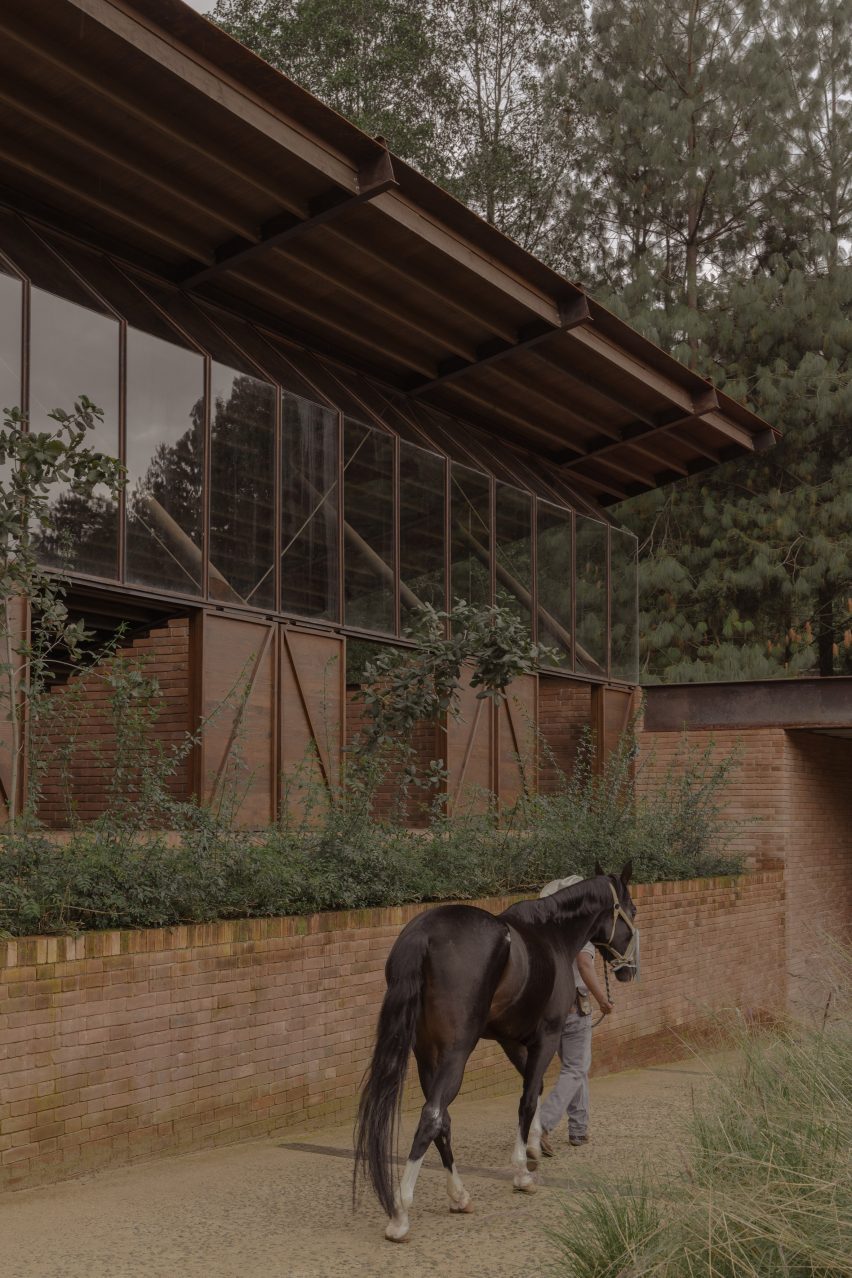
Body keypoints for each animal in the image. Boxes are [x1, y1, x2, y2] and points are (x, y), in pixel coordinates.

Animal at [352, 863, 638, 1231]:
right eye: (632, 911)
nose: (629, 970)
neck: (551, 934)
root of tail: (424, 935)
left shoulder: (509, 1040)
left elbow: (536, 1088)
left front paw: (534, 1147)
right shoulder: (546, 1037)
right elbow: (527, 1099)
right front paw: (523, 1171)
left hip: (426, 1055)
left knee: (442, 1118)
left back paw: (459, 1196)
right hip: (456, 1052)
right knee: (432, 1116)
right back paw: (401, 1212)